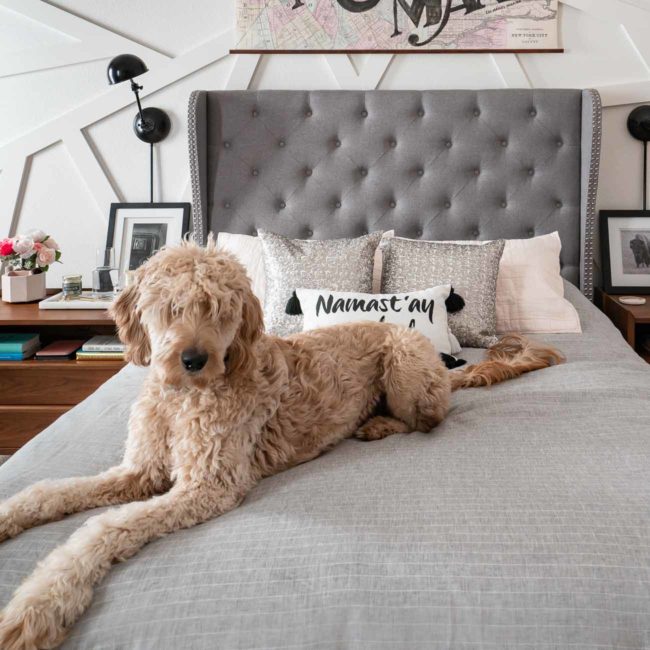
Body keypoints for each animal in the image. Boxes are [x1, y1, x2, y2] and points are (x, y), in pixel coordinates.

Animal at [0, 238, 560, 648]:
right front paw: (10, 518)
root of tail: (442, 370)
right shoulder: (139, 472)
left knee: (429, 420)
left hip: (404, 367)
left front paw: (36, 606)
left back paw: (378, 425)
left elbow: (103, 529)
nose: (193, 360)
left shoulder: (208, 488)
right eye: (170, 307)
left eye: (221, 310)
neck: (185, 399)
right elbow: (49, 491)